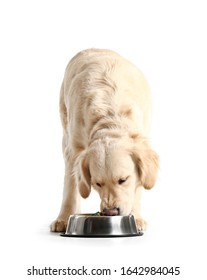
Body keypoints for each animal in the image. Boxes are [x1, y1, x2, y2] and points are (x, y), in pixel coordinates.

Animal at [50, 48, 158, 232]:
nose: (111, 212)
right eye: (97, 184)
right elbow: (71, 187)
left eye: (123, 180)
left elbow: (138, 185)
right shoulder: (74, 149)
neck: (111, 119)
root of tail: (92, 49)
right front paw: (64, 219)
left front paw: (136, 218)